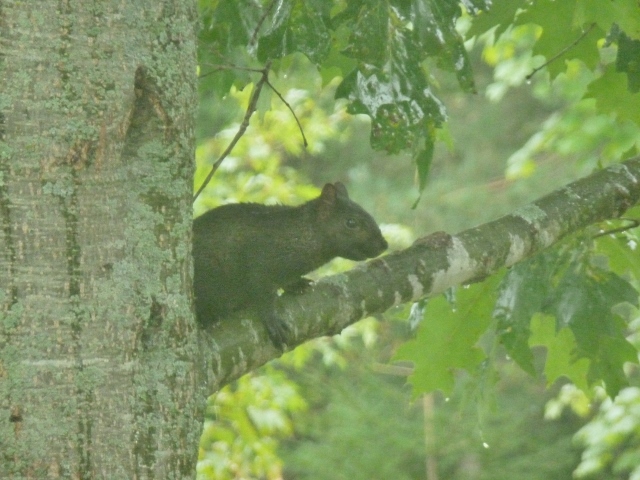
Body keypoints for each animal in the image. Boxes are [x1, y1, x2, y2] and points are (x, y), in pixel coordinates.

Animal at [192, 182, 388, 346]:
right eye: (351, 222)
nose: (384, 245)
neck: (299, 233)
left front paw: (297, 284)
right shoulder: (260, 264)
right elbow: (263, 296)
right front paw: (272, 320)